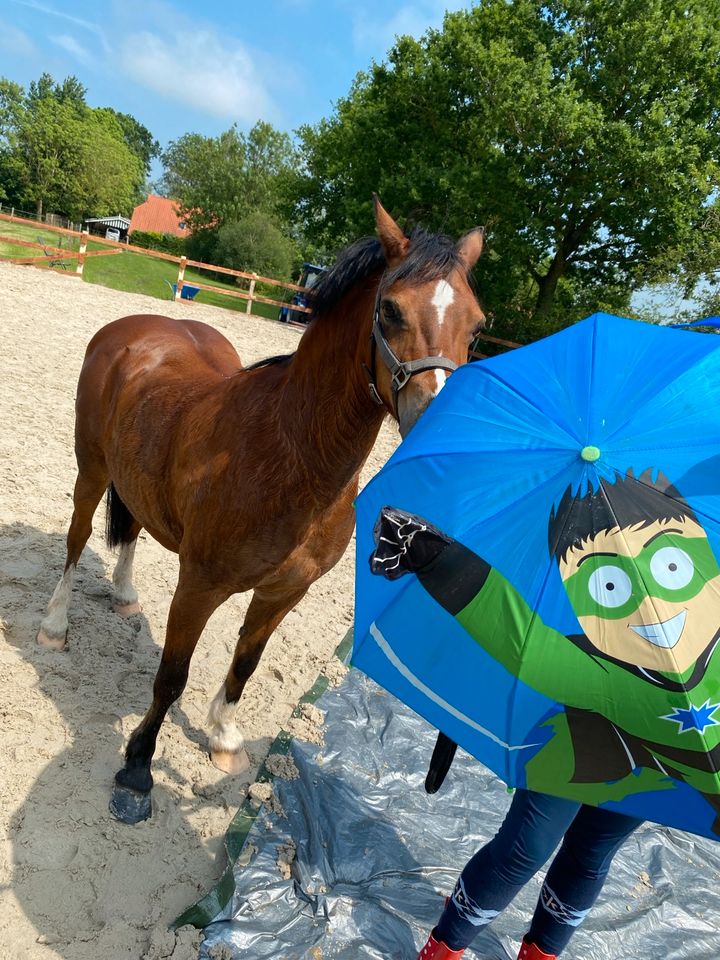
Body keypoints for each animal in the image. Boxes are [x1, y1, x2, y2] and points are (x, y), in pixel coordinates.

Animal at [38, 199, 484, 820]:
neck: (289, 454)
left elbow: (245, 664)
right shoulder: (199, 586)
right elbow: (171, 677)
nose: (446, 427)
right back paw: (54, 626)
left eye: (478, 325)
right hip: (92, 470)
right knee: (76, 543)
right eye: (391, 309)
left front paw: (224, 739)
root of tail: (135, 328)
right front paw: (136, 769)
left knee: (130, 531)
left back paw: (125, 596)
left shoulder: (284, 592)